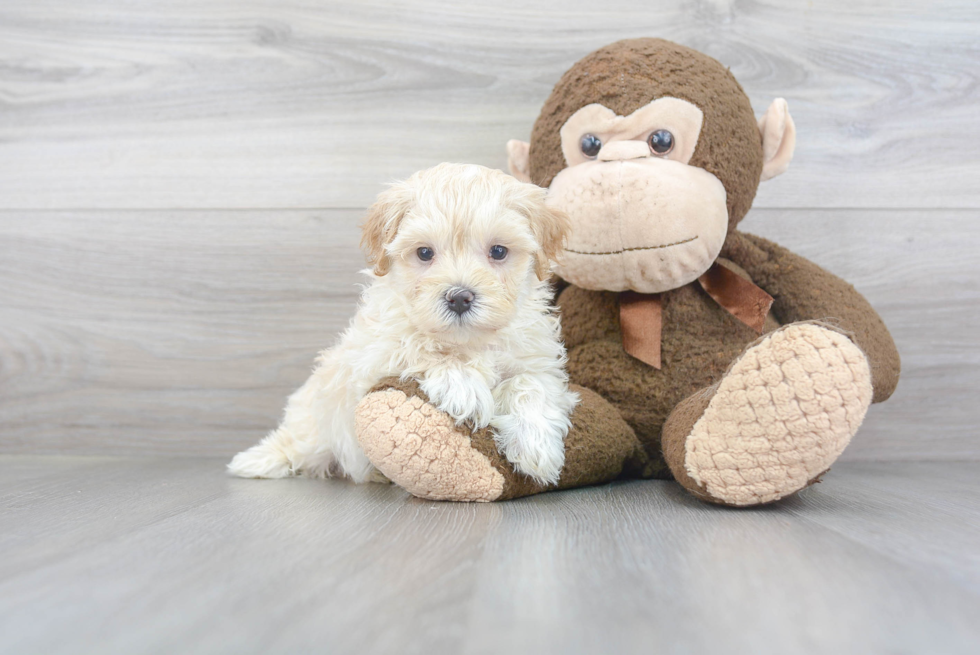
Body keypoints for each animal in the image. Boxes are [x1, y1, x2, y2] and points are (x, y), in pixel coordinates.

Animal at [228, 163, 580, 486]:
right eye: (424, 252)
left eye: (498, 251)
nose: (459, 298)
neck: (467, 341)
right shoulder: (371, 356)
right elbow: (417, 346)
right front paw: (463, 385)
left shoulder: (538, 361)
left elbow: (530, 385)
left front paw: (537, 447)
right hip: (315, 419)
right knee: (299, 440)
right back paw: (258, 459)